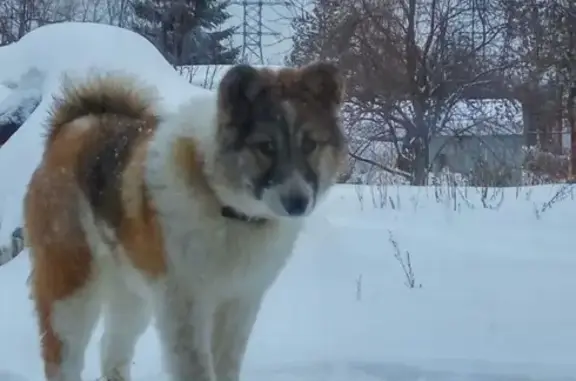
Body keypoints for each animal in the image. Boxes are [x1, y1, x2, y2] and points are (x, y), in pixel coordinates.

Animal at [23, 62, 346, 380]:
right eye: (266, 146)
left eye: (310, 144)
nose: (298, 202)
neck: (226, 206)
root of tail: (71, 128)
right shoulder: (184, 306)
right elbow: (196, 369)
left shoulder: (240, 302)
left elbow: (226, 364)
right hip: (71, 288)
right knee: (62, 355)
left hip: (132, 292)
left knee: (112, 351)